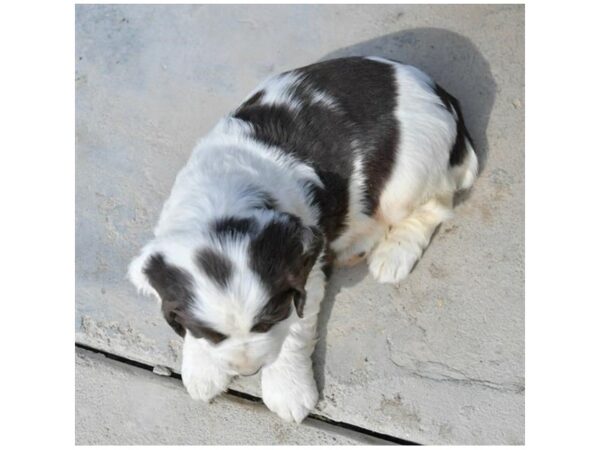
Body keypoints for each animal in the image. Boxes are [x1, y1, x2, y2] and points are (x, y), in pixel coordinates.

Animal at [127, 56, 478, 422]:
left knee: (436, 205)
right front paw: (202, 370)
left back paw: (393, 253)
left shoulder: (306, 277)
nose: (249, 371)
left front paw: (288, 392)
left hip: (407, 180)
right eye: (212, 334)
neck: (224, 199)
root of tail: (441, 95)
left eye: (268, 322)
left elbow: (293, 335)